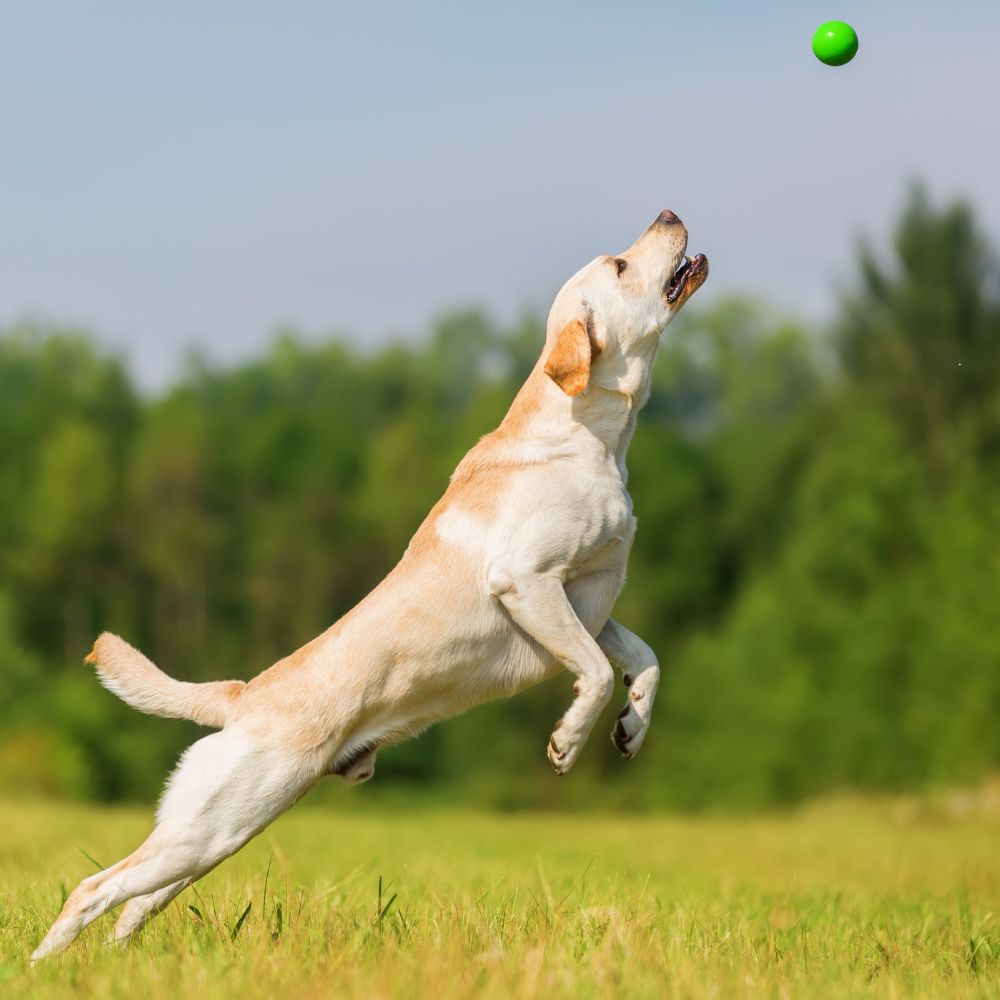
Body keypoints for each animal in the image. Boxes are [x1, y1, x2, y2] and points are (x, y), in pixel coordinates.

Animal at [29, 211, 704, 960]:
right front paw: (569, 740)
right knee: (94, 889)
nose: (669, 214)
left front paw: (632, 728)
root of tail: (241, 696)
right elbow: (594, 669)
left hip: (213, 836)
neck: (592, 437)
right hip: (209, 828)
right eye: (619, 266)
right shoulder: (528, 581)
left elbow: (644, 658)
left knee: (134, 903)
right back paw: (44, 968)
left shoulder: (588, 597)